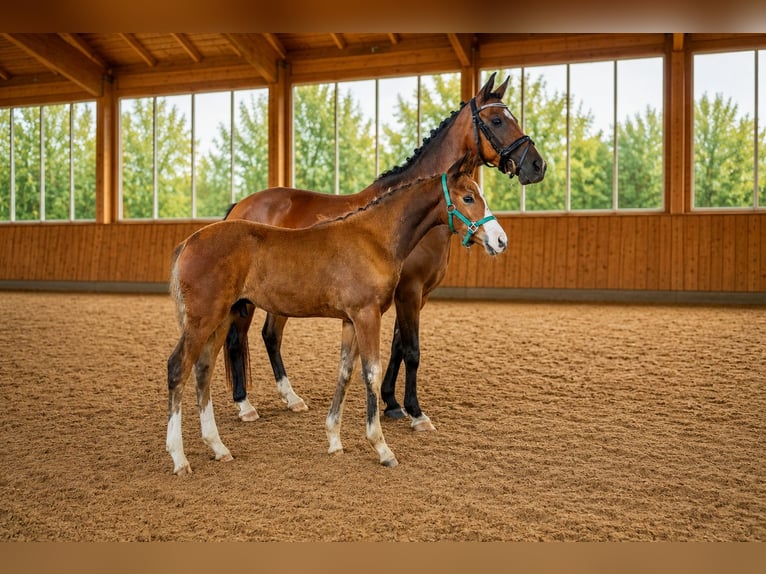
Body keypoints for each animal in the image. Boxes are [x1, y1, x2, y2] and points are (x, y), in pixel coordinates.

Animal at [166, 153, 505, 475]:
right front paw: (382, 447)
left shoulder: (350, 321)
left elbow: (345, 372)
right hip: (203, 321)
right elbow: (371, 373)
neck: (375, 238)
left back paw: (218, 447)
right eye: (468, 198)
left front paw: (334, 440)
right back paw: (180, 458)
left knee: (203, 371)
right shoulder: (368, 316)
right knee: (178, 368)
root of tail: (188, 242)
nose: (500, 240)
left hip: (221, 320)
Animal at [223, 72, 546, 431]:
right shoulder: (410, 291)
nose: (537, 165)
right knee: (237, 339)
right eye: (498, 120)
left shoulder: (414, 294)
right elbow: (412, 350)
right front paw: (415, 411)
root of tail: (241, 206)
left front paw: (392, 403)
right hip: (247, 300)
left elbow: (397, 347)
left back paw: (291, 399)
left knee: (270, 336)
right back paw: (243, 405)